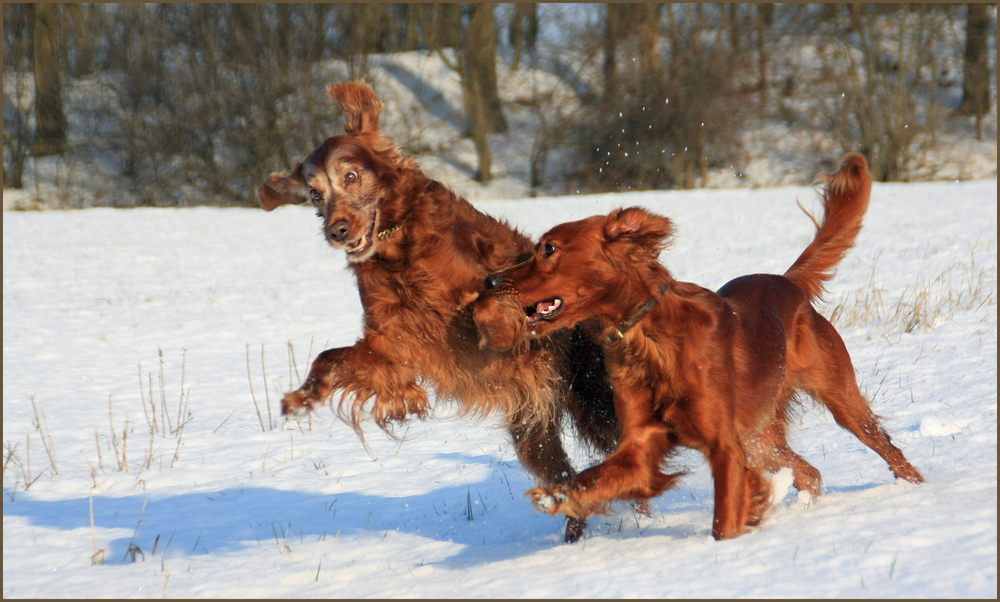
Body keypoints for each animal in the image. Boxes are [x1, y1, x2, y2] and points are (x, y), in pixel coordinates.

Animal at [256, 78, 616, 540]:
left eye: (351, 176)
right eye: (316, 193)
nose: (337, 231)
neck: (398, 247)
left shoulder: (501, 275)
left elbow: (487, 301)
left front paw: (498, 331)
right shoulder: (391, 344)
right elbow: (331, 358)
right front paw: (302, 399)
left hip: (593, 400)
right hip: (533, 431)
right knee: (565, 478)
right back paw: (573, 530)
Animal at [484, 151, 920, 540]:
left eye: (549, 248)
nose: (490, 281)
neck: (651, 342)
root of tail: (787, 281)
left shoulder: (725, 446)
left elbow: (723, 522)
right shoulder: (640, 448)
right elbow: (592, 478)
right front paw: (556, 495)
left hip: (838, 398)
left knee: (886, 448)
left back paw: (917, 490)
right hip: (761, 435)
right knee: (808, 472)